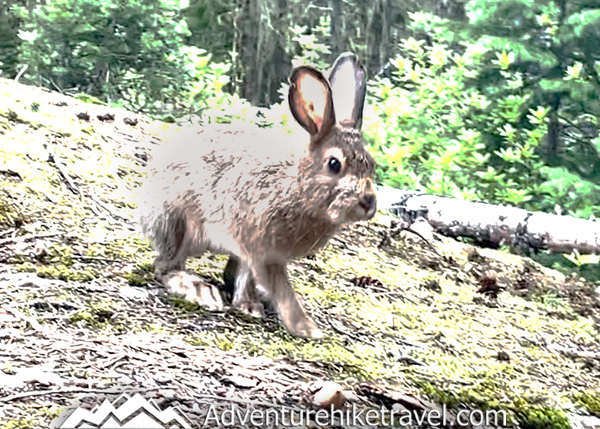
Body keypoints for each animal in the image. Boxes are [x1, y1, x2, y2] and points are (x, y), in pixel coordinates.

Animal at [138, 51, 378, 336]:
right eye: (334, 164)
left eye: (372, 165)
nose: (369, 203)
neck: (297, 187)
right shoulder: (261, 248)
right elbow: (281, 288)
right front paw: (306, 328)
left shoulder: (251, 250)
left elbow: (246, 276)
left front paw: (249, 306)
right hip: (178, 225)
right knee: (165, 267)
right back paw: (199, 290)